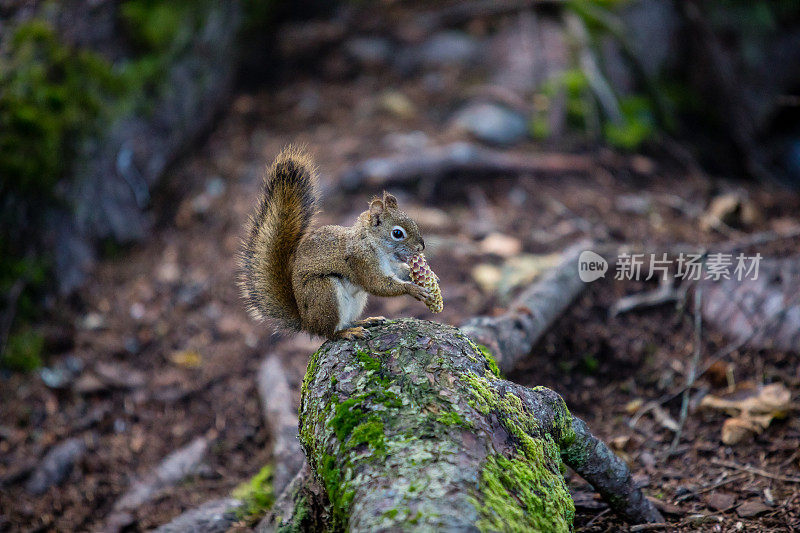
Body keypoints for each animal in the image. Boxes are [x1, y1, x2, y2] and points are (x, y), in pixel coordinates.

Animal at [239, 145, 432, 338]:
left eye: (413, 222)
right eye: (397, 233)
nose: (420, 247)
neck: (375, 246)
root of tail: (306, 321)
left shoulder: (391, 265)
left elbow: (399, 271)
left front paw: (421, 276)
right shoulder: (361, 261)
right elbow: (377, 285)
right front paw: (413, 289)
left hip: (356, 300)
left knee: (345, 322)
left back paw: (365, 322)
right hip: (325, 293)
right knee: (330, 333)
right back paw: (348, 333)